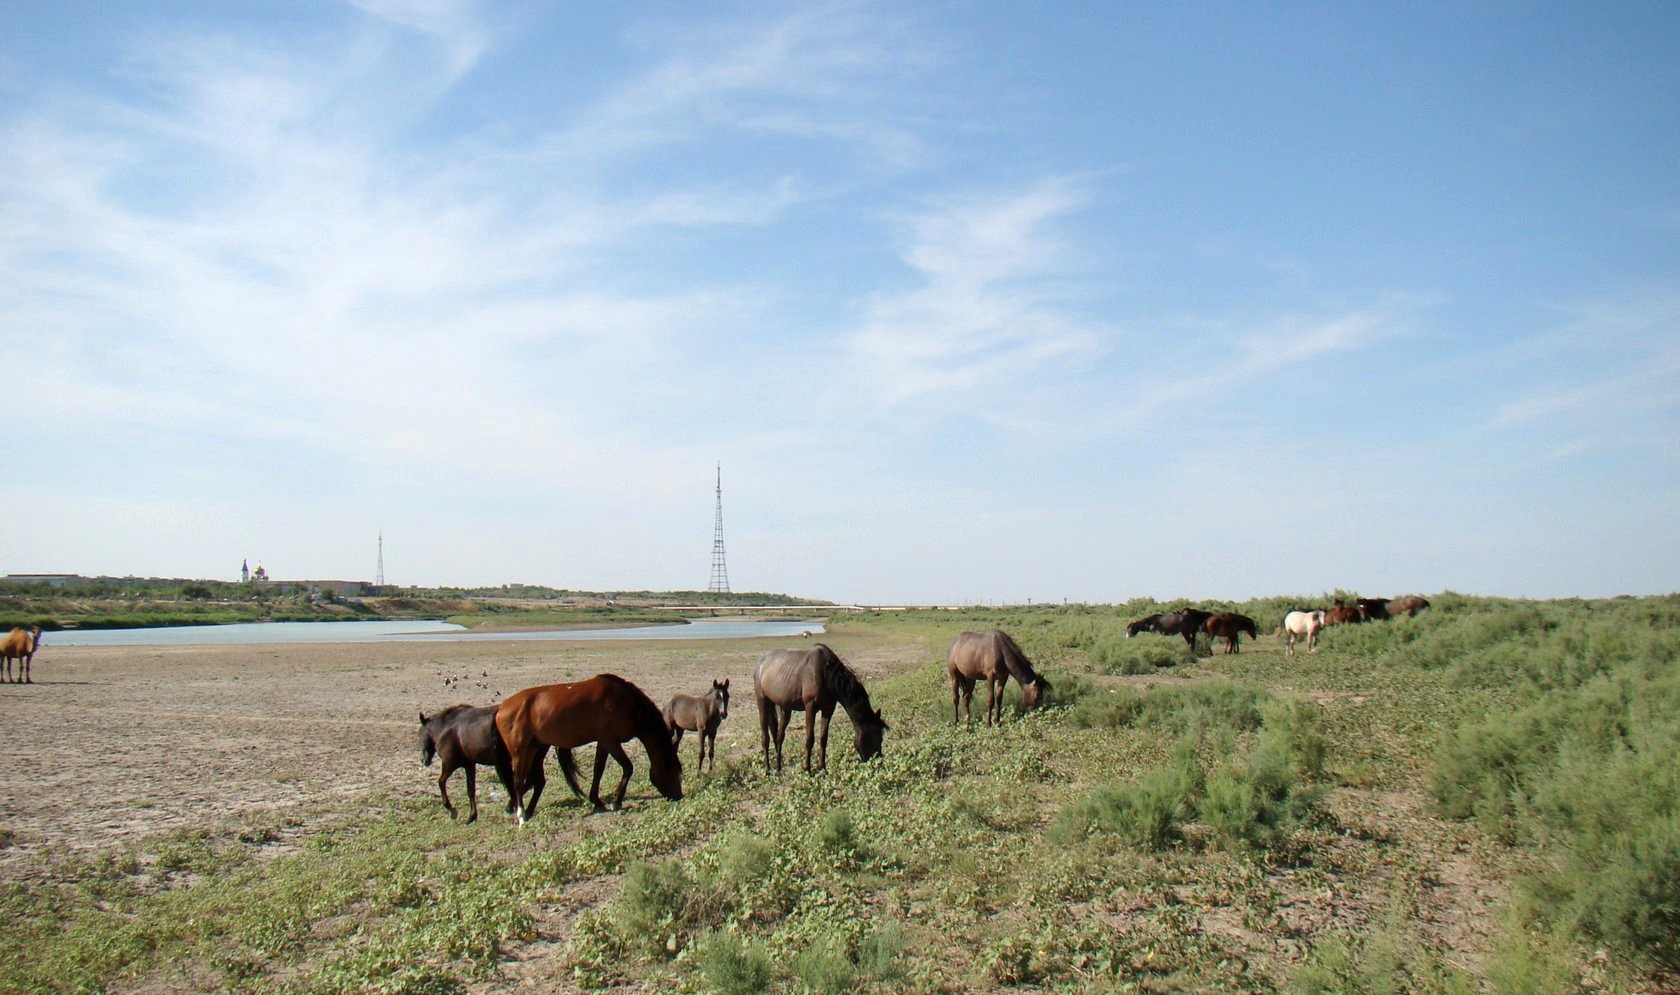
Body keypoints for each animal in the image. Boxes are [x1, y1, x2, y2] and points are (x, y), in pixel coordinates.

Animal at [490, 675, 682, 823]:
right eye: (674, 770)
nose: (679, 796)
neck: (625, 702)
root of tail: (501, 708)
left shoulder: (603, 742)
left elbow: (598, 769)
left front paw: (596, 800)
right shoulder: (611, 741)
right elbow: (628, 767)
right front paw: (616, 801)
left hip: (534, 748)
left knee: (531, 780)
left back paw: (523, 810)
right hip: (519, 751)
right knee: (517, 780)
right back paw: (521, 815)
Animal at [759, 645, 893, 776]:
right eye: (878, 737)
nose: (878, 762)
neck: (826, 675)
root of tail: (762, 662)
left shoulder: (828, 709)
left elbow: (824, 738)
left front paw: (822, 768)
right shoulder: (810, 708)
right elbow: (810, 739)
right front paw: (807, 769)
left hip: (785, 708)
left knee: (779, 735)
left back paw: (778, 768)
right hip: (762, 703)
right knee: (765, 737)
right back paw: (767, 769)